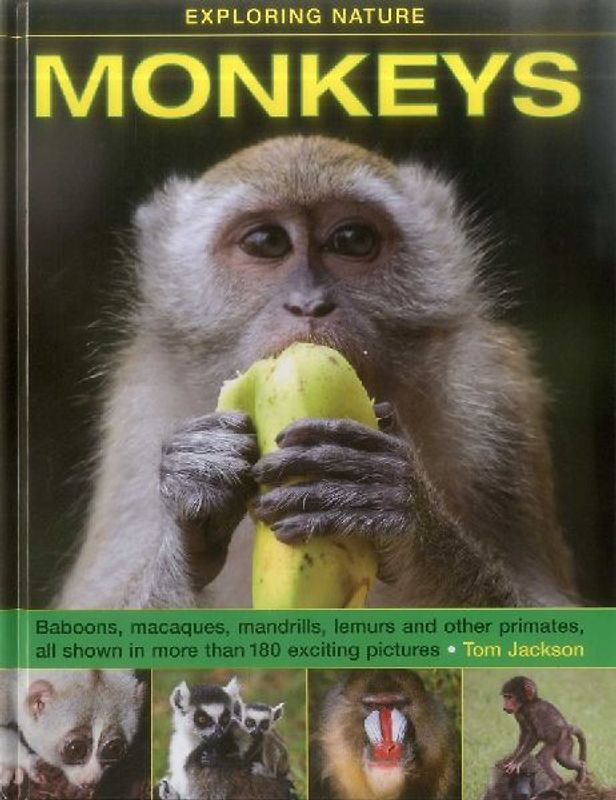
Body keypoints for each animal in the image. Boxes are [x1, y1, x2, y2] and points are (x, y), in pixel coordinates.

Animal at [55, 134, 578, 610]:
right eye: (267, 243)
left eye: (352, 240)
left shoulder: (498, 398)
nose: (309, 304)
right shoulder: (137, 412)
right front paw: (194, 493)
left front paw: (399, 506)